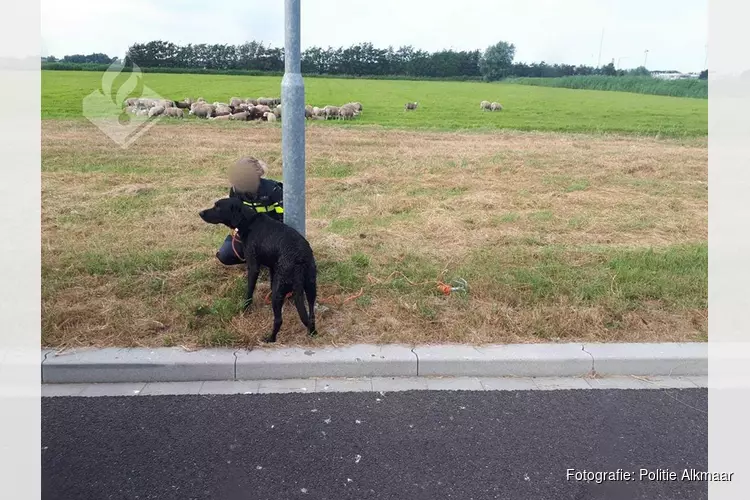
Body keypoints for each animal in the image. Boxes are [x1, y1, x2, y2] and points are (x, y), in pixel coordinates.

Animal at [200, 197, 318, 342]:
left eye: (218, 207)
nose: (200, 213)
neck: (249, 221)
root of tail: (299, 261)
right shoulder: (273, 268)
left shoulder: (253, 267)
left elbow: (249, 291)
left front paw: (245, 308)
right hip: (310, 288)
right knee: (311, 315)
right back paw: (312, 332)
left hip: (280, 290)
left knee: (279, 320)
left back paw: (270, 339)